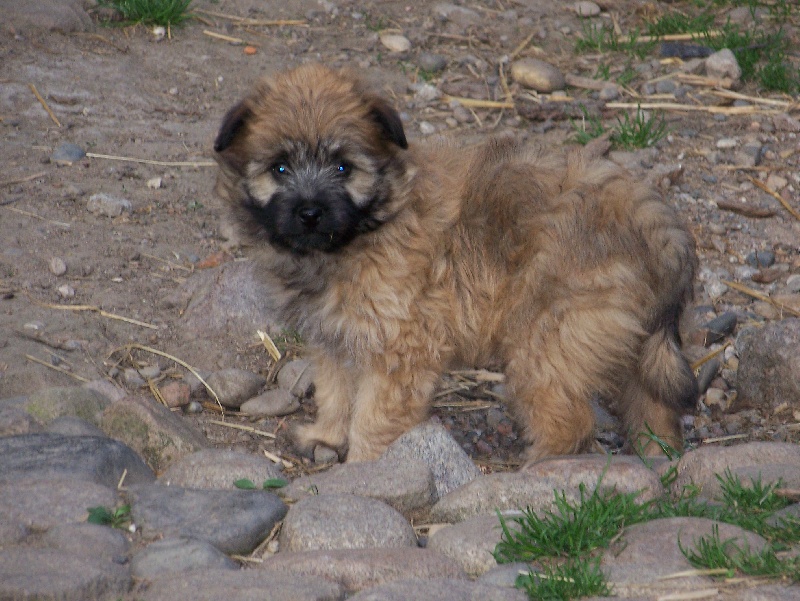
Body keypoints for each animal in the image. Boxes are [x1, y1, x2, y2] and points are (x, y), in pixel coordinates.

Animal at [216, 62, 696, 464]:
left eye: (343, 167)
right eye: (279, 169)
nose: (310, 212)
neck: (373, 224)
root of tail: (655, 223)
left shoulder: (400, 347)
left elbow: (374, 417)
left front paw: (365, 470)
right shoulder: (335, 339)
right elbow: (336, 393)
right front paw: (327, 436)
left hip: (549, 341)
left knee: (570, 420)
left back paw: (538, 471)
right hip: (623, 341)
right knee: (652, 405)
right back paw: (659, 456)